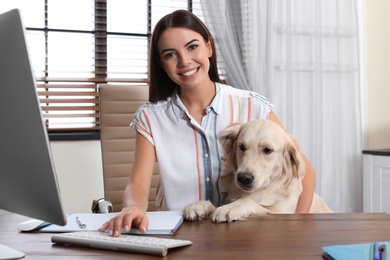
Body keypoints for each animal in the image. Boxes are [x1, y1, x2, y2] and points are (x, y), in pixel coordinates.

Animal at [184, 119, 332, 222]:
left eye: (267, 150)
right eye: (241, 146)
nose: (244, 178)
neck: (265, 189)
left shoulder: (279, 212)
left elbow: (247, 201)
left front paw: (230, 208)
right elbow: (212, 205)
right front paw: (198, 206)